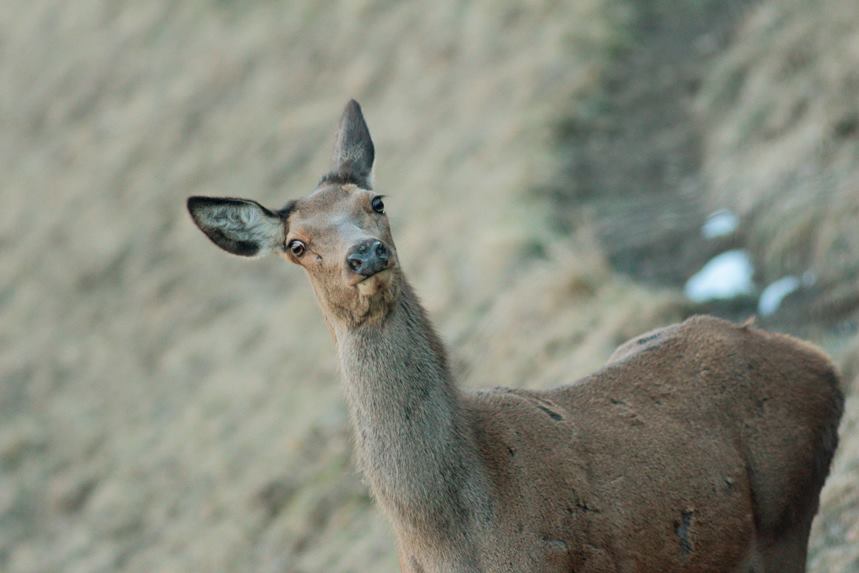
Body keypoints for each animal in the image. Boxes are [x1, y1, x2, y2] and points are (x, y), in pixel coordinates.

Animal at [190, 100, 848, 568]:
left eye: (375, 200)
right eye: (297, 244)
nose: (366, 253)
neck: (454, 534)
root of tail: (827, 367)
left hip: (787, 513)